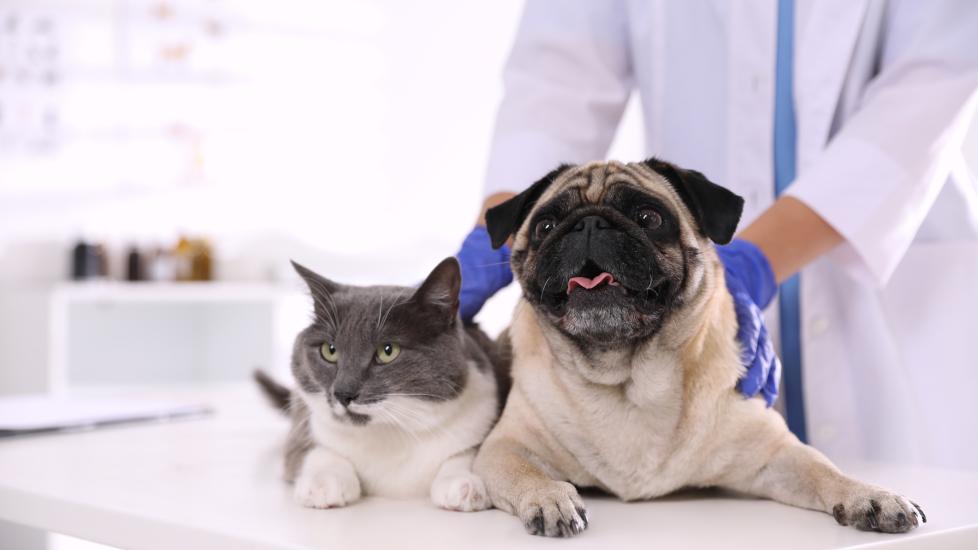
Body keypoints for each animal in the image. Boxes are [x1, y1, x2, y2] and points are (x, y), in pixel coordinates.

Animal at [255, 258, 508, 512]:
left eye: (388, 351)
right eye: (329, 350)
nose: (343, 393)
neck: (390, 432)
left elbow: (470, 452)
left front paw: (463, 483)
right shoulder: (304, 424)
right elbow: (312, 450)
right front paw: (323, 482)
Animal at [472, 158, 924, 540]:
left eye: (649, 217)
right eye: (546, 226)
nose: (589, 224)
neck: (628, 376)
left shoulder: (774, 454)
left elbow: (824, 469)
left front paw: (870, 495)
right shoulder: (505, 447)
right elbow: (527, 474)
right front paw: (550, 497)